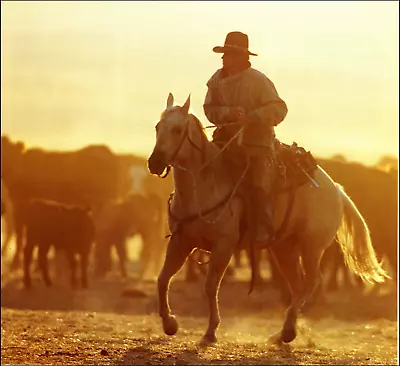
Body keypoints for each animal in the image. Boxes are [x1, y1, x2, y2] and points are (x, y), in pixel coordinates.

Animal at [148, 93, 390, 344]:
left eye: (177, 130)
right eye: (157, 127)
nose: (154, 163)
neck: (204, 185)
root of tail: (336, 189)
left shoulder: (224, 244)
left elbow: (211, 286)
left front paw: (211, 330)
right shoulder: (181, 241)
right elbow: (163, 279)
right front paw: (169, 324)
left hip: (311, 247)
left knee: (312, 283)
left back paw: (289, 329)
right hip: (284, 248)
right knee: (297, 285)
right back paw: (284, 332)